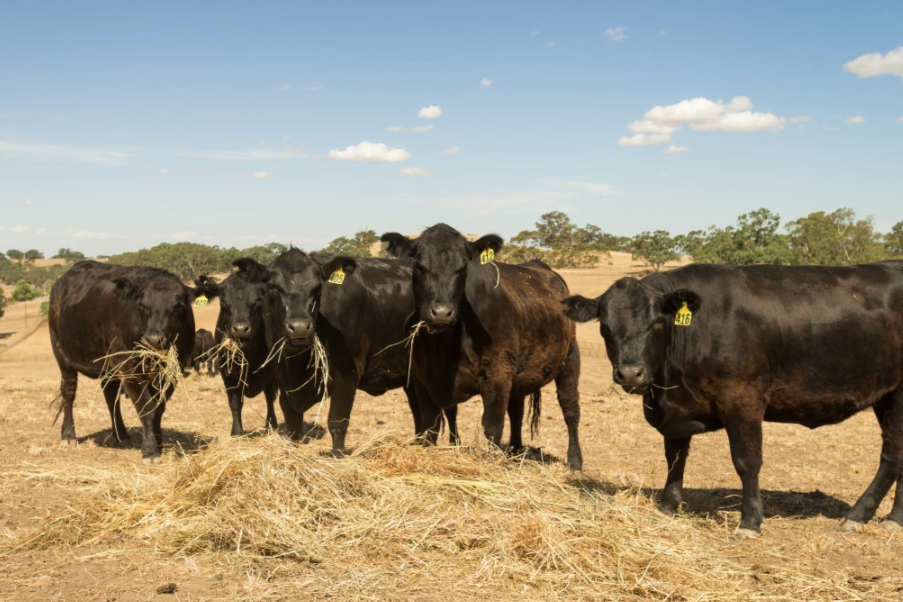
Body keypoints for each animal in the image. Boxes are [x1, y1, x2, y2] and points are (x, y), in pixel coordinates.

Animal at [49, 261, 196, 463]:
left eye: (178, 306)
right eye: (142, 305)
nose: (153, 339)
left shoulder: (173, 370)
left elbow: (158, 408)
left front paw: (158, 443)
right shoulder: (129, 368)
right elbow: (146, 407)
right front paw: (150, 450)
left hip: (108, 364)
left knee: (110, 395)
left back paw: (120, 435)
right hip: (62, 355)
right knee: (69, 393)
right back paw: (68, 435)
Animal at [193, 259, 279, 436]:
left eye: (258, 300)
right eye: (223, 301)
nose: (240, 329)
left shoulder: (271, 372)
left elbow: (269, 398)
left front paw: (271, 424)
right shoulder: (227, 372)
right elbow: (234, 402)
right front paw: (237, 431)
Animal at [259, 248, 457, 454]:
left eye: (318, 288)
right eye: (274, 287)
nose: (299, 327)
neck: (296, 365)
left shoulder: (347, 376)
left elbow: (337, 423)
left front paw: (337, 456)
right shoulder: (283, 381)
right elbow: (293, 425)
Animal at [380, 224, 584, 471]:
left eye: (463, 267)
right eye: (418, 265)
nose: (441, 312)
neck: (443, 349)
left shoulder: (498, 374)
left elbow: (493, 426)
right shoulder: (422, 380)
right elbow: (429, 427)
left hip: (570, 359)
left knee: (570, 409)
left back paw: (575, 461)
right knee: (516, 410)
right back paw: (515, 451)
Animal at [562, 262, 903, 537]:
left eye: (656, 322)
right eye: (605, 327)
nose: (630, 373)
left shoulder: (742, 400)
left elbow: (746, 461)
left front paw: (750, 522)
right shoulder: (676, 411)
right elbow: (675, 456)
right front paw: (669, 506)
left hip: (898, 395)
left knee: (892, 456)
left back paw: (858, 515)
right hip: (886, 397)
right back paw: (894, 519)